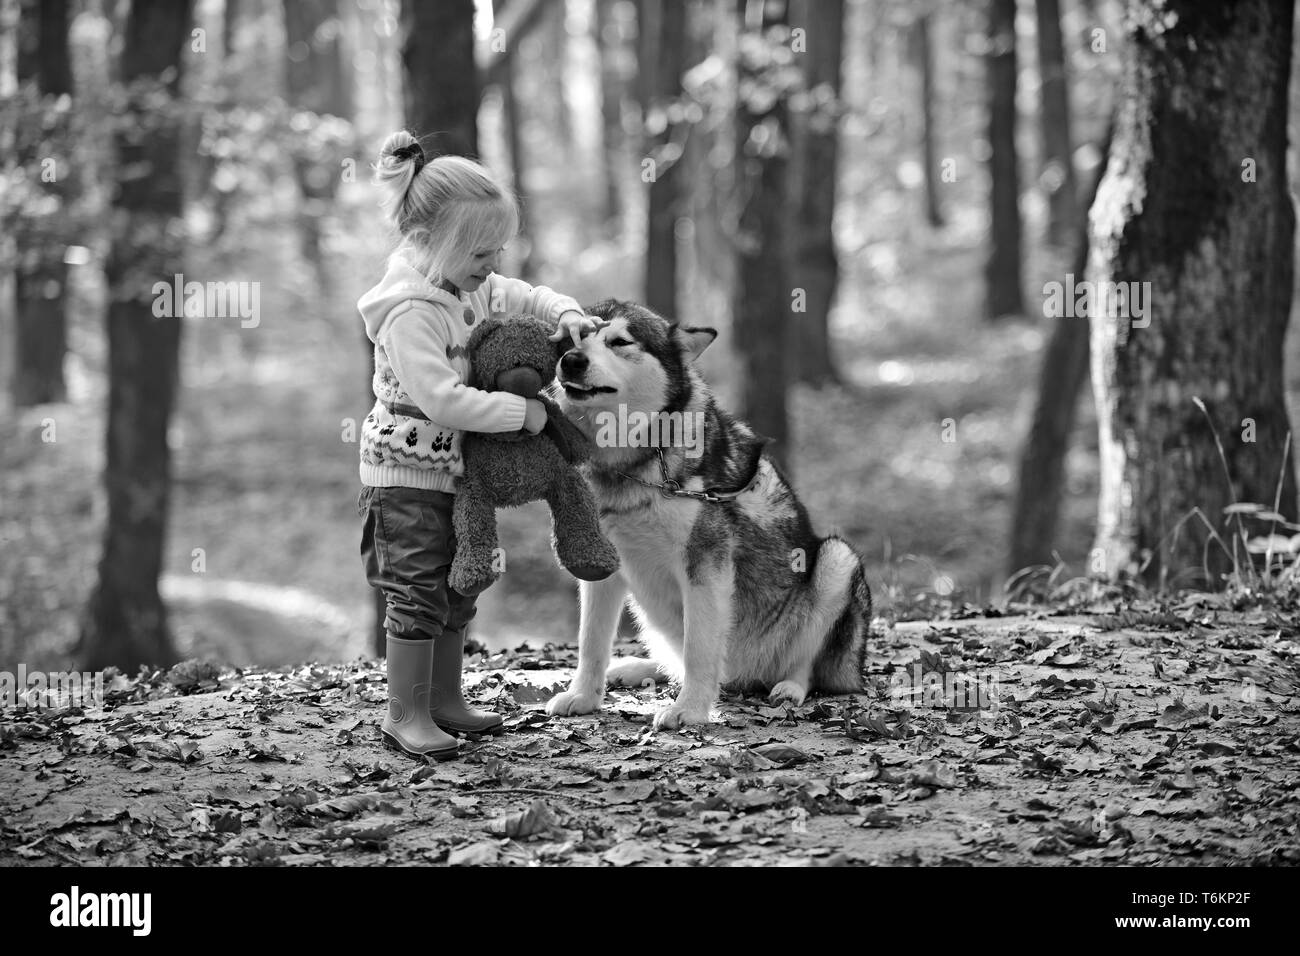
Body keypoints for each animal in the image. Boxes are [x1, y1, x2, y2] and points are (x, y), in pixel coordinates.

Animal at [543, 303, 868, 728]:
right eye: (572, 340)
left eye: (619, 341)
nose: (571, 360)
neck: (634, 465)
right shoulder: (601, 565)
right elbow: (591, 642)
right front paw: (582, 697)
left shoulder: (704, 565)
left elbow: (698, 647)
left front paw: (691, 710)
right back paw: (636, 668)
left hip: (836, 560)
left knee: (806, 668)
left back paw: (790, 688)